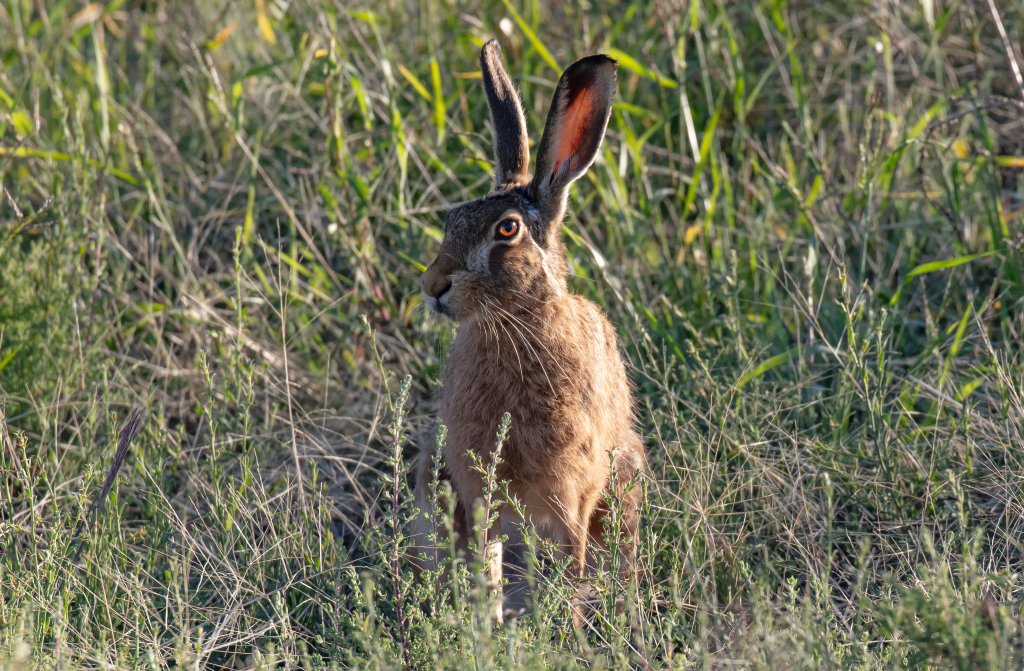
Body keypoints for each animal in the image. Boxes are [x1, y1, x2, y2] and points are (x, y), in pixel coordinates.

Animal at [412, 38, 646, 623]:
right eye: (450, 220)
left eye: (507, 230)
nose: (433, 285)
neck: (517, 323)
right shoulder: (476, 490)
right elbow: (485, 567)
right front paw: (488, 625)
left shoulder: (571, 494)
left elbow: (572, 565)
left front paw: (564, 626)